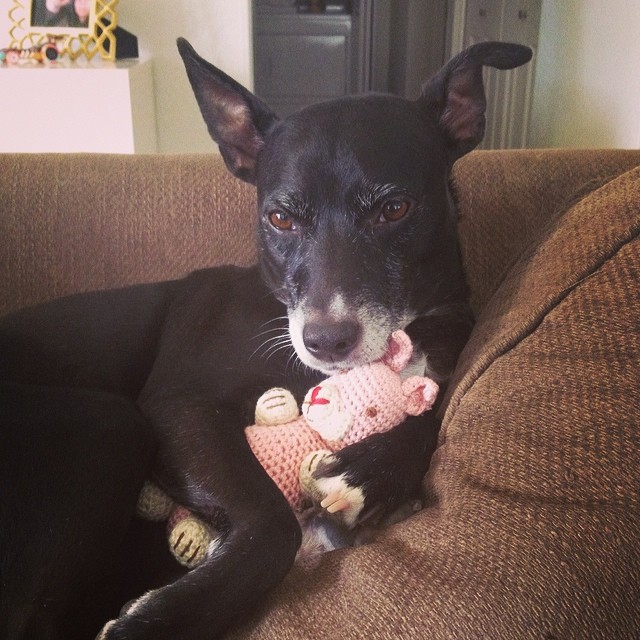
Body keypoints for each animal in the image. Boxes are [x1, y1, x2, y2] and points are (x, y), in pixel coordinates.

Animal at [0, 41, 528, 640]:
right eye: (279, 218)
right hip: (109, 423)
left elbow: (432, 414)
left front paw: (371, 472)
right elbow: (273, 525)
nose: (326, 341)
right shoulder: (180, 406)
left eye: (394, 209)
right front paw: (160, 619)